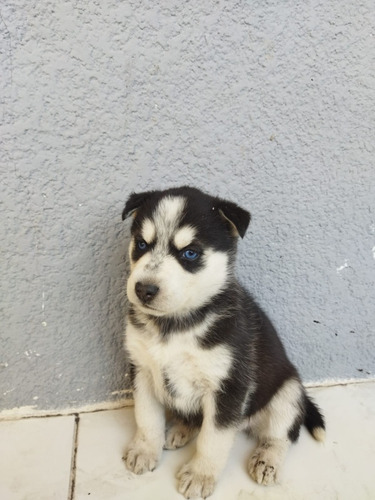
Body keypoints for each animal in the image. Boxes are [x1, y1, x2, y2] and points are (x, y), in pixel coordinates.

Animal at [122, 186, 324, 498]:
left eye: (190, 253)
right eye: (142, 244)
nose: (144, 289)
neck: (175, 326)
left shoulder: (228, 386)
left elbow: (213, 438)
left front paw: (200, 475)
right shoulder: (141, 369)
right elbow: (146, 416)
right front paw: (145, 450)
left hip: (288, 392)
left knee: (282, 434)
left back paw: (267, 459)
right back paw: (180, 429)